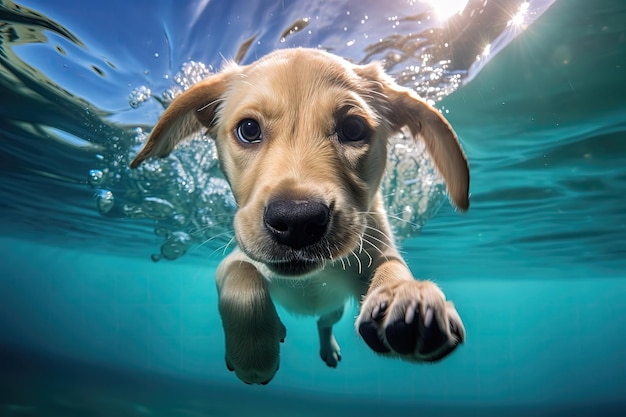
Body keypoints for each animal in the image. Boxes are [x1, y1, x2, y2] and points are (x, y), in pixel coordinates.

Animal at [129, 48, 466, 384]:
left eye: (354, 129)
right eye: (248, 129)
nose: (297, 222)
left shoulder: (373, 252)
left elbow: (391, 265)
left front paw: (407, 297)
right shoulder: (235, 259)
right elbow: (241, 275)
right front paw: (254, 351)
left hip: (335, 308)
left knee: (324, 321)